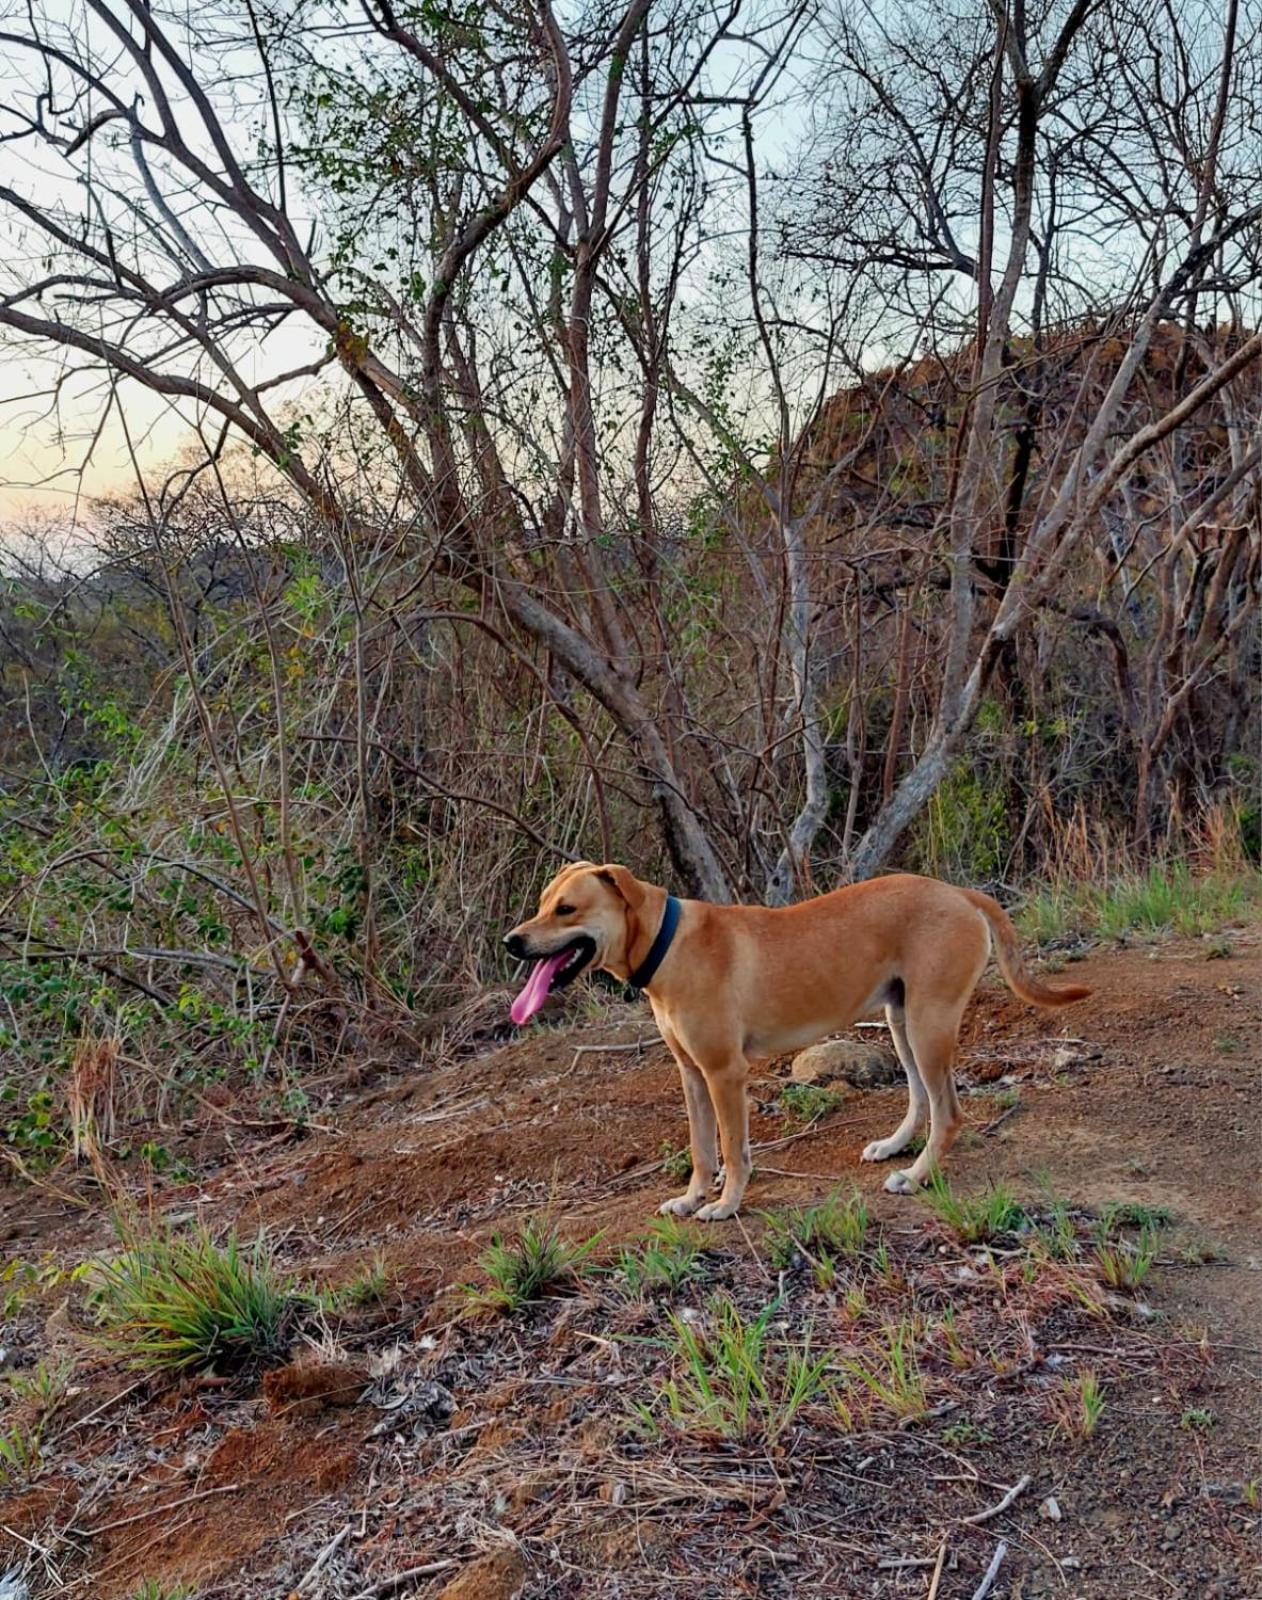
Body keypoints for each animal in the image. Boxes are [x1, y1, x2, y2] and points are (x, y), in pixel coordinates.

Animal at [508, 870, 1087, 1216]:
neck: (665, 942)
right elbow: (701, 1150)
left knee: (948, 1112)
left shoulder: (724, 1074)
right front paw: (691, 1199)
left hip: (929, 1023)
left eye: (566, 909)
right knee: (921, 1098)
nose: (512, 941)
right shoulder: (692, 1075)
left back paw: (915, 1175)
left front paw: (725, 1205)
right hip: (903, 1021)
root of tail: (957, 892)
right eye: (541, 904)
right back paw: (894, 1146)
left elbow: (733, 1151)